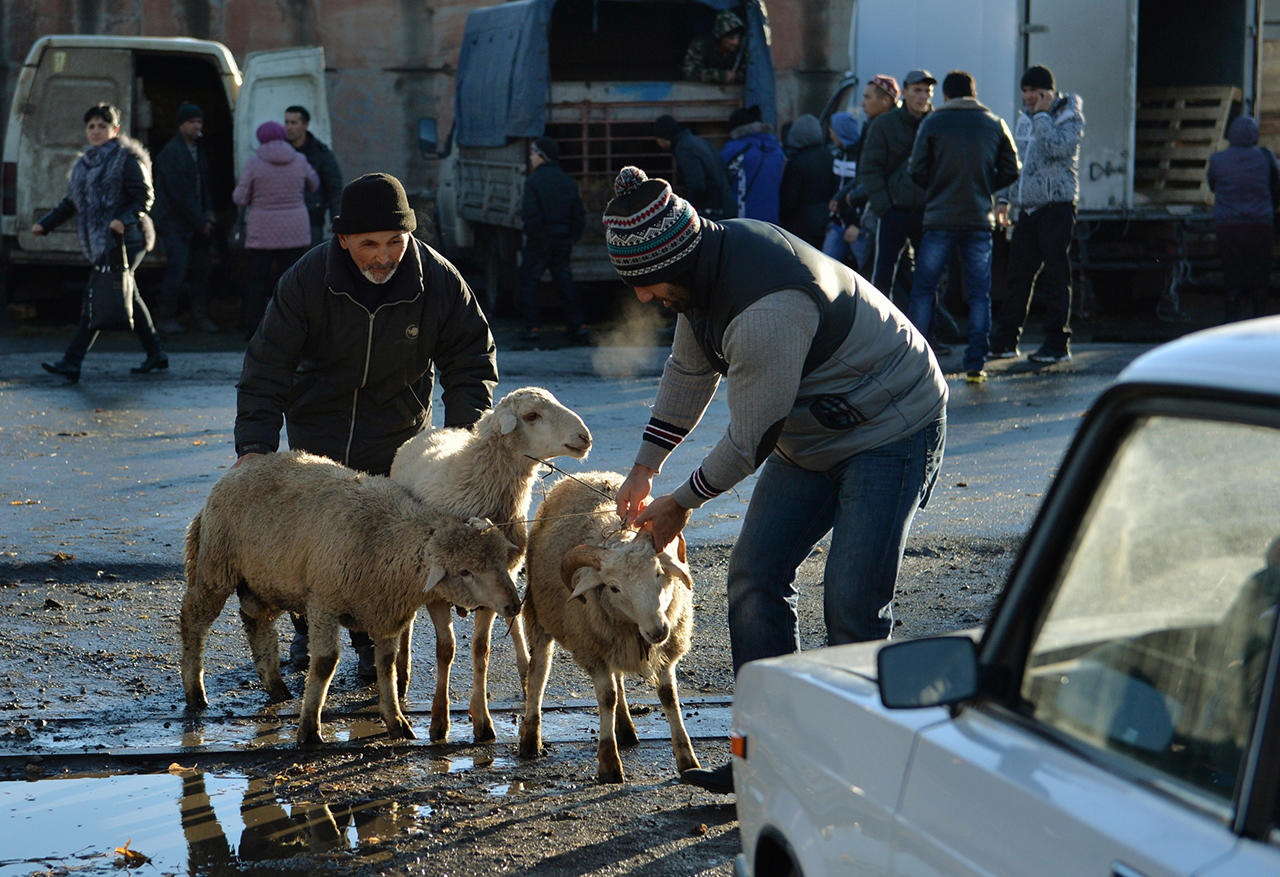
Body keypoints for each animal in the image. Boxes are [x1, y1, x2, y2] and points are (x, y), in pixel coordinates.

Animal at [386, 386, 591, 742]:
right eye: (532, 416)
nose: (585, 437)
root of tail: (438, 430)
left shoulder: (495, 583)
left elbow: (481, 650)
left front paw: (481, 719)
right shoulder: (438, 589)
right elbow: (446, 650)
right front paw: (439, 720)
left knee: (515, 616)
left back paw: (525, 668)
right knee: (408, 620)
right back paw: (401, 670)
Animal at [517, 471, 701, 788]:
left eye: (659, 572)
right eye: (614, 588)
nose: (658, 630)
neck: (634, 626)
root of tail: (590, 474)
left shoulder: (664, 651)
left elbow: (668, 695)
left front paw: (687, 760)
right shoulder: (593, 652)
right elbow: (606, 697)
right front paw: (609, 765)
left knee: (619, 679)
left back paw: (626, 728)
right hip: (540, 616)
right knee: (538, 673)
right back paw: (531, 740)